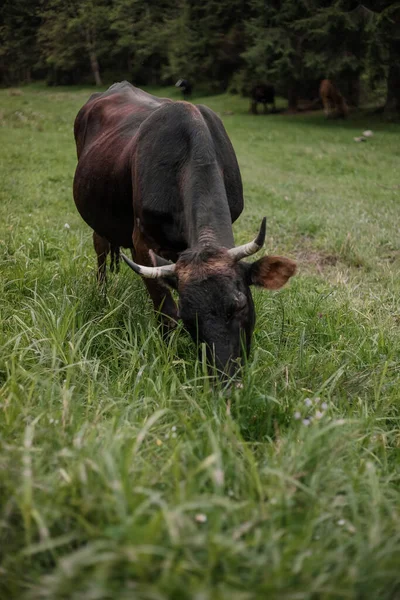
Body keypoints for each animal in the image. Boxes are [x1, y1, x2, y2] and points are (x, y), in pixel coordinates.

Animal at [72, 82, 296, 378]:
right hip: (97, 216)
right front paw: (169, 358)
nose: (225, 375)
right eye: (189, 320)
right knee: (100, 250)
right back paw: (102, 296)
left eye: (240, 304)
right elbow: (166, 311)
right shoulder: (142, 241)